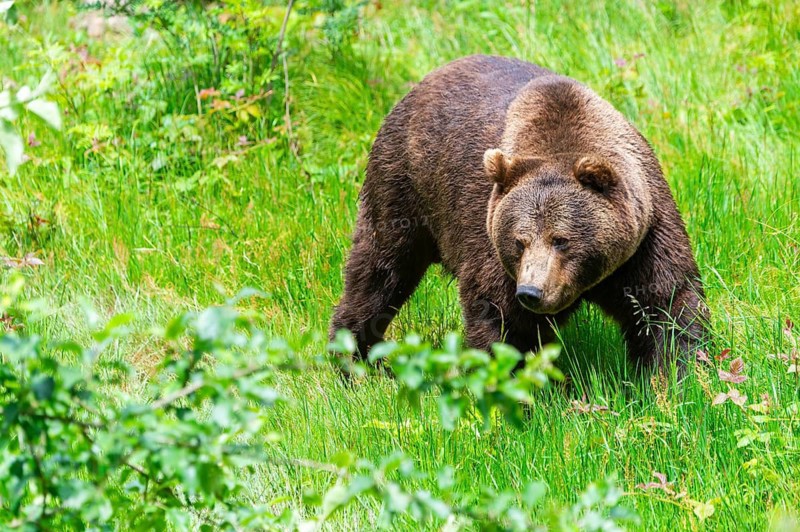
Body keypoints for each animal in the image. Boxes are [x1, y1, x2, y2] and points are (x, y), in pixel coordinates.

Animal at [330, 54, 708, 371]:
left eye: (561, 239)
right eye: (519, 240)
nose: (531, 292)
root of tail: (422, 83)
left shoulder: (645, 235)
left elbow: (667, 305)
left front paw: (677, 375)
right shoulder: (487, 235)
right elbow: (501, 321)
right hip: (404, 189)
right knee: (379, 270)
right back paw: (352, 357)